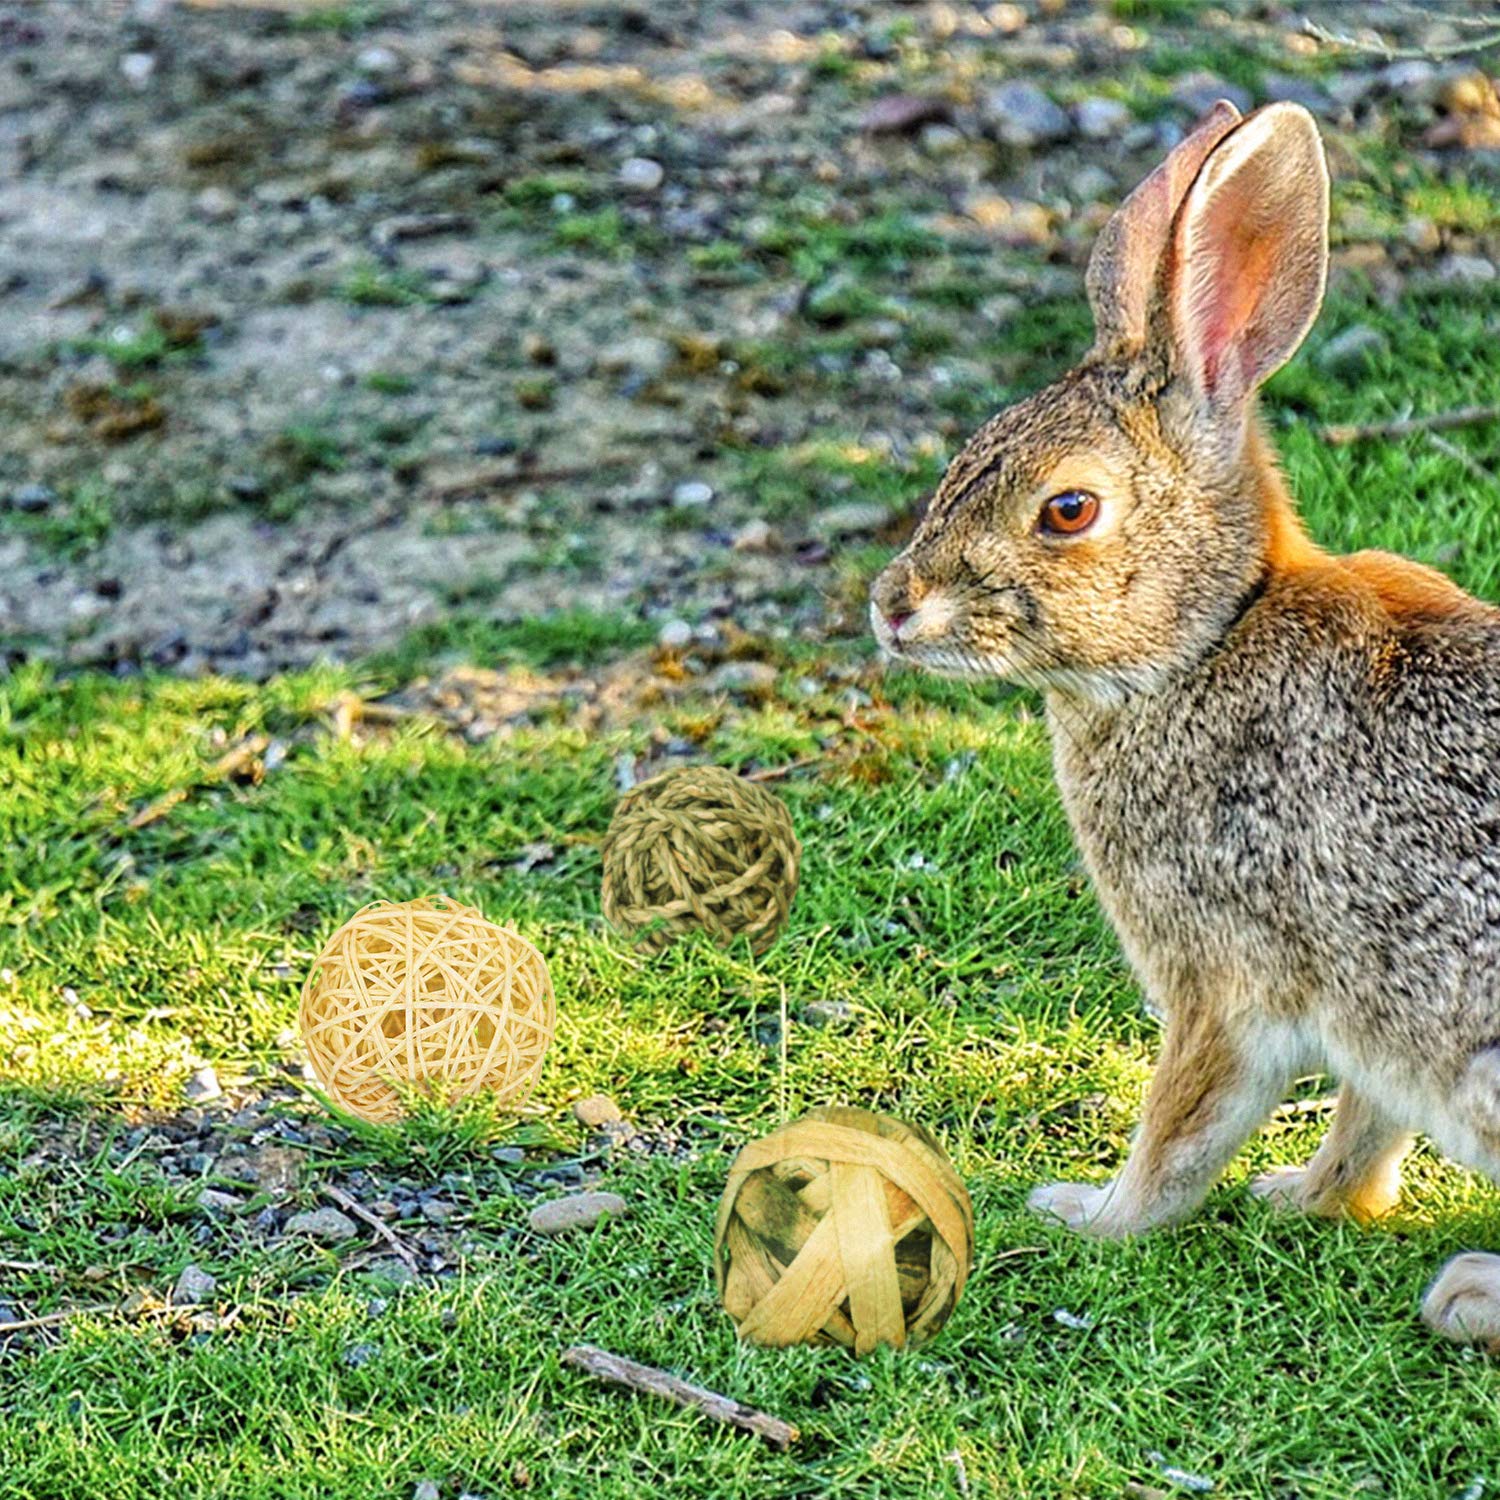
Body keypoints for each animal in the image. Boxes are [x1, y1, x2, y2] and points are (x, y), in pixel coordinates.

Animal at [870, 99, 1500, 1348]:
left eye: (1069, 509)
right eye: (969, 452)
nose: (892, 605)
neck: (1206, 640)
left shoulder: (1222, 981)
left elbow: (1178, 1129)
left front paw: (1088, 1217)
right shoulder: (1371, 1010)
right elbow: (1362, 1121)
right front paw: (1306, 1196)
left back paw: (1469, 1294)